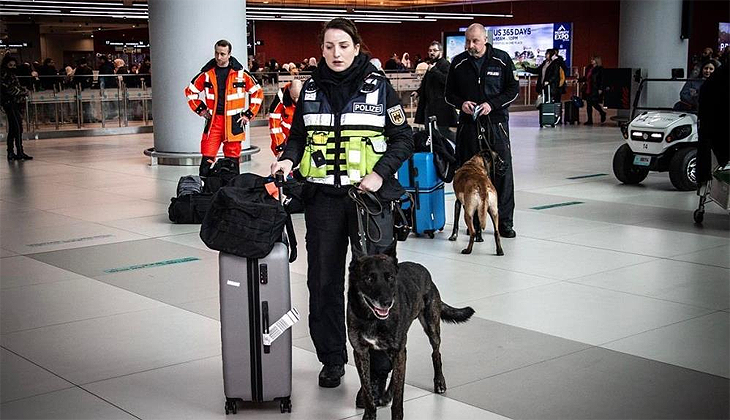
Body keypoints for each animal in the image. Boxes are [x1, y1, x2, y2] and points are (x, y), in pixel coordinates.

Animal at [346, 246, 472, 420]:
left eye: (391, 278)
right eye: (369, 279)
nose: (387, 302)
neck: (371, 318)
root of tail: (423, 270)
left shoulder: (397, 350)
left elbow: (399, 396)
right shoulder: (360, 353)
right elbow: (367, 392)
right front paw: (369, 415)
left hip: (431, 327)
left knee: (436, 353)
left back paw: (439, 382)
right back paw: (387, 395)